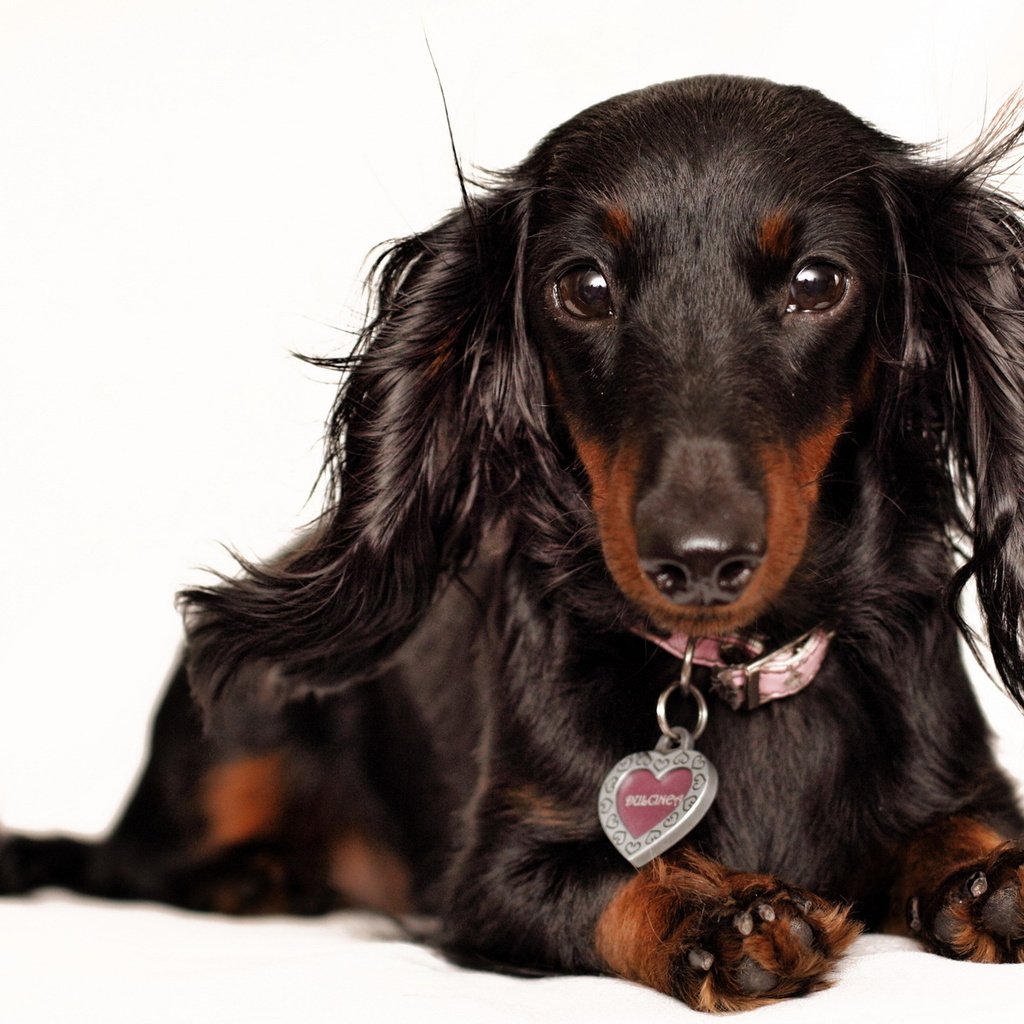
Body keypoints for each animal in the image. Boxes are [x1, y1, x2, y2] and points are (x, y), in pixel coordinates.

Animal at [2, 75, 1024, 1011]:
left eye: (818, 283)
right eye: (585, 287)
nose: (698, 560)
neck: (739, 674)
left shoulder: (964, 781)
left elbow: (961, 826)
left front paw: (990, 880)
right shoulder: (496, 879)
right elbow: (614, 879)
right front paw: (717, 912)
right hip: (238, 730)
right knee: (130, 866)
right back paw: (250, 875)